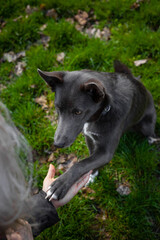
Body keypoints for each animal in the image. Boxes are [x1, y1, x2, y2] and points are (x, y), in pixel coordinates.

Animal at [38, 61, 158, 200]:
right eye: (57, 108)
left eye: (78, 112)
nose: (57, 144)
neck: (102, 112)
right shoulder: (89, 138)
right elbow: (88, 162)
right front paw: (92, 175)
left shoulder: (105, 152)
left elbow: (80, 164)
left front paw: (60, 184)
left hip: (146, 125)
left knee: (150, 132)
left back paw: (152, 139)